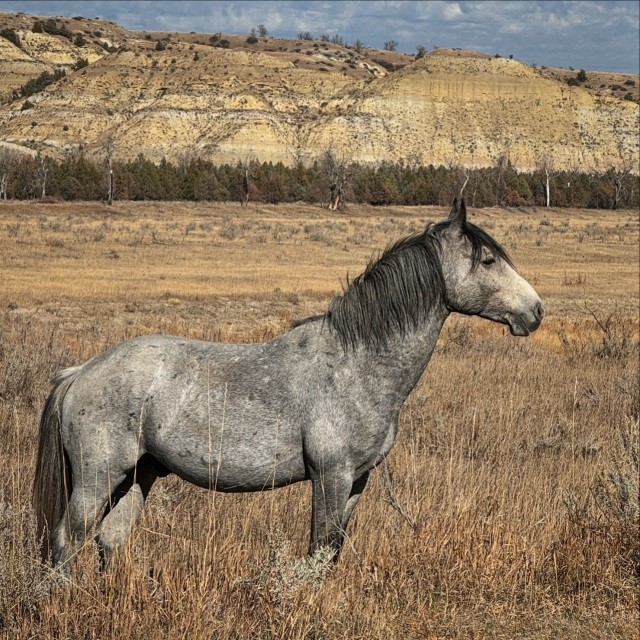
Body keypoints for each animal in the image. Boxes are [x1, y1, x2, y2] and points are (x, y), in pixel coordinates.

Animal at [32, 199, 544, 576]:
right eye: (488, 259)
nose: (536, 311)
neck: (356, 363)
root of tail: (80, 372)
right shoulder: (331, 477)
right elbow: (318, 549)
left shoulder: (357, 480)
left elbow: (331, 553)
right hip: (99, 477)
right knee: (67, 539)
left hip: (139, 476)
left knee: (109, 540)